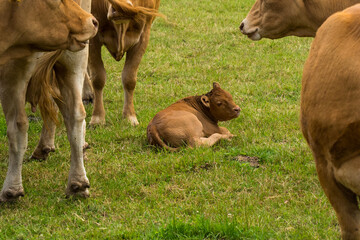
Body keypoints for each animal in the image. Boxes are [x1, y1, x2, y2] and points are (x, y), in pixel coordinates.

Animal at [0, 0, 98, 202]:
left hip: (13, 73)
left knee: (18, 125)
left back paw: (11, 189)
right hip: (74, 62)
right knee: (75, 115)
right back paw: (78, 182)